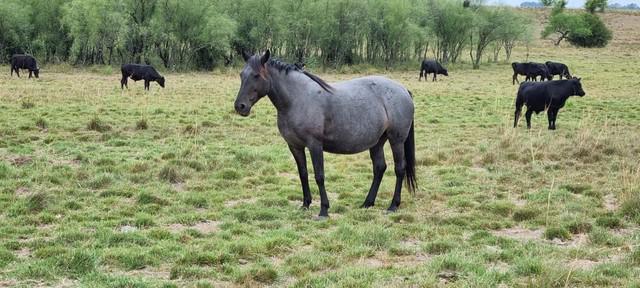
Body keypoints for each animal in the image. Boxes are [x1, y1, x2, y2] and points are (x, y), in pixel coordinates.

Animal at [232, 51, 418, 217]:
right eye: (241, 74)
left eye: (256, 75)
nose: (240, 106)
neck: (297, 99)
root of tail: (403, 89)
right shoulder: (295, 146)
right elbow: (303, 174)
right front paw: (305, 204)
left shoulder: (315, 145)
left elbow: (319, 176)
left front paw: (323, 210)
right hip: (377, 142)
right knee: (379, 168)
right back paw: (367, 203)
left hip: (396, 140)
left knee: (399, 169)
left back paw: (393, 206)